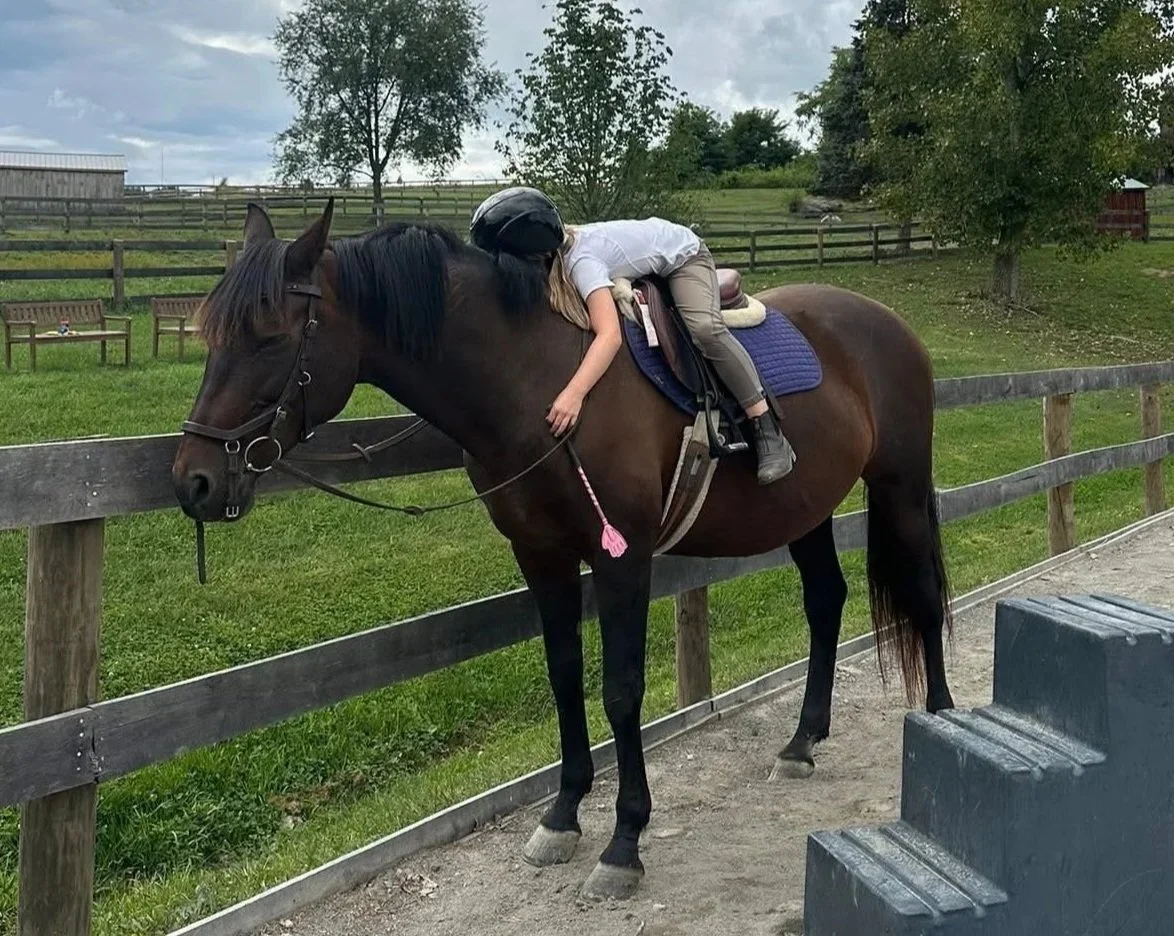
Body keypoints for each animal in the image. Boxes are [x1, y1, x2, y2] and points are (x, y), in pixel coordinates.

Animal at [171, 199, 955, 900]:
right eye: (209, 336)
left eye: (269, 338)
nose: (193, 481)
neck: (534, 379)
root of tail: (890, 323)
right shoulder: (540, 555)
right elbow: (563, 675)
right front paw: (562, 816)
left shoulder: (622, 557)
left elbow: (621, 688)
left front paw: (624, 842)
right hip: (806, 508)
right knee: (825, 602)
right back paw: (801, 744)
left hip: (901, 486)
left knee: (921, 592)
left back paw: (942, 721)